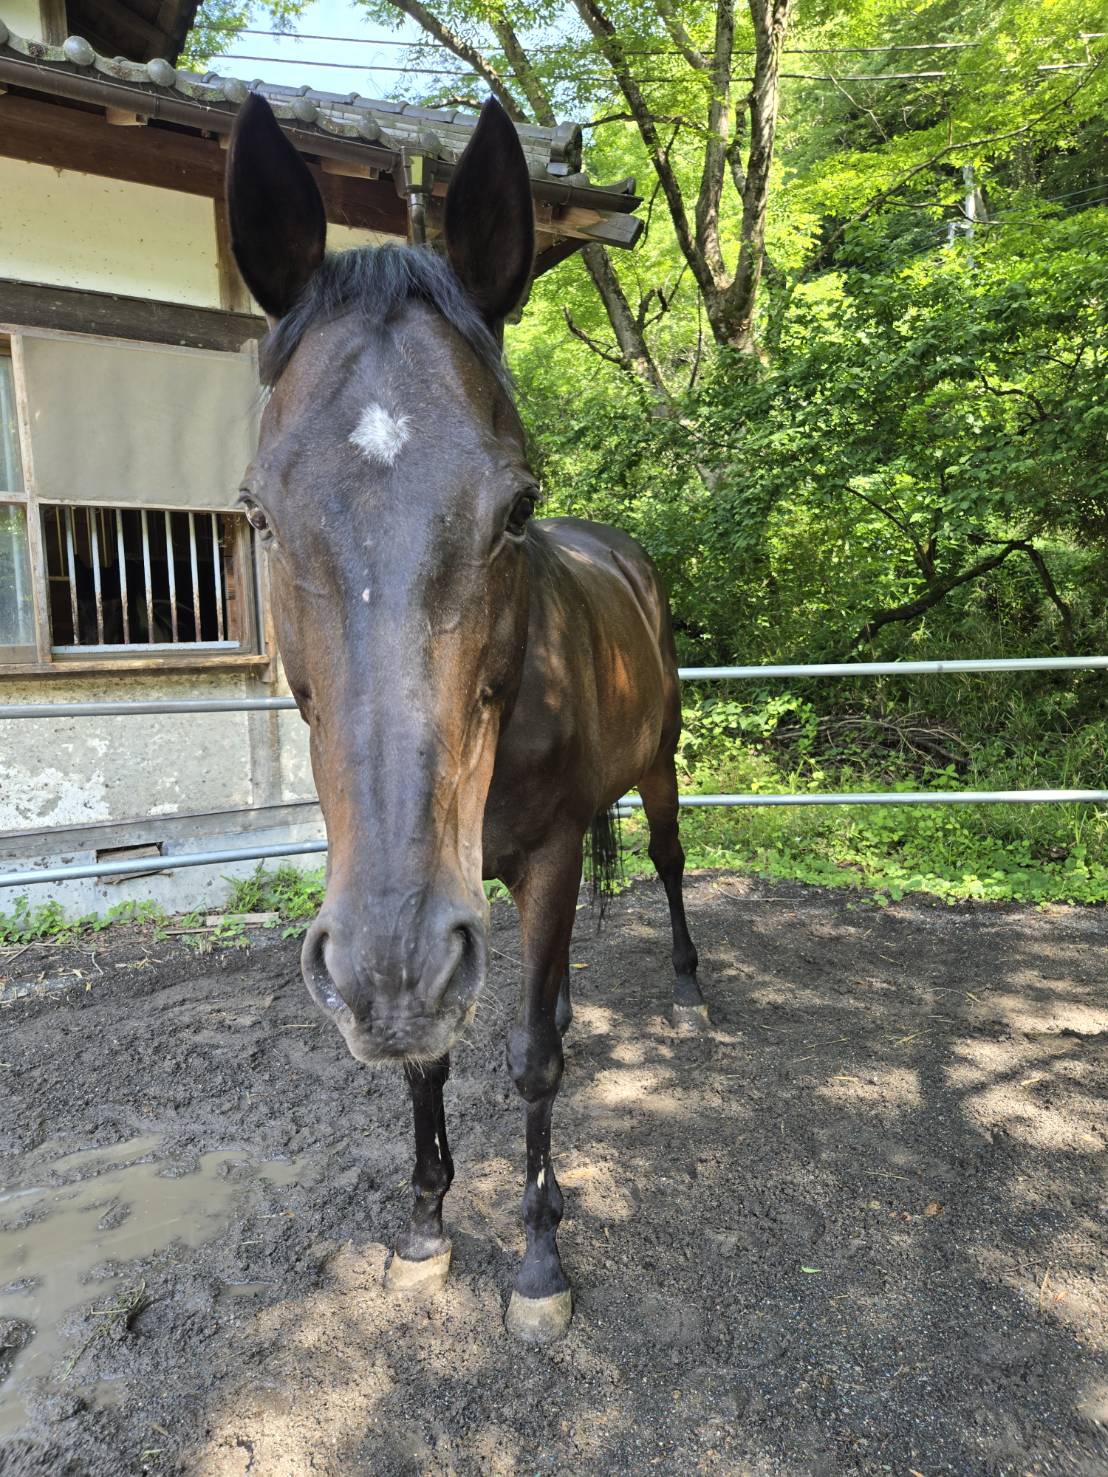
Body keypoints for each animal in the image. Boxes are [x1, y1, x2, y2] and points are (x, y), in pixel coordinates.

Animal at [226, 93, 707, 1343]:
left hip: (662, 769)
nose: (389, 968)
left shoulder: (538, 858)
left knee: (670, 864)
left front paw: (538, 1256)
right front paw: (426, 1225)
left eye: (515, 507)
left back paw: (691, 992)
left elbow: (530, 1059)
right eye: (259, 513)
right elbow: (431, 1063)